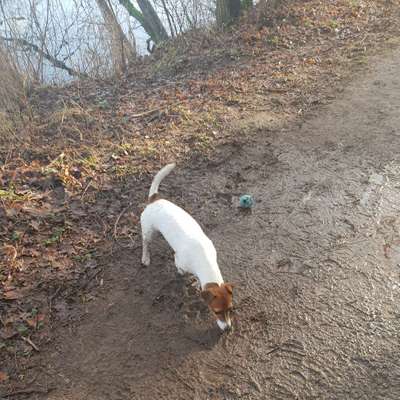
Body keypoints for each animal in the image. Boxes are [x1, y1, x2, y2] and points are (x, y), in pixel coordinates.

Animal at [141, 163, 234, 332]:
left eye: (231, 309)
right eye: (216, 312)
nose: (228, 330)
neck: (204, 260)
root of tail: (154, 199)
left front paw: (197, 283)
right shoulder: (180, 261)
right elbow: (181, 270)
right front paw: (183, 275)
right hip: (148, 231)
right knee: (145, 243)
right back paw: (145, 258)